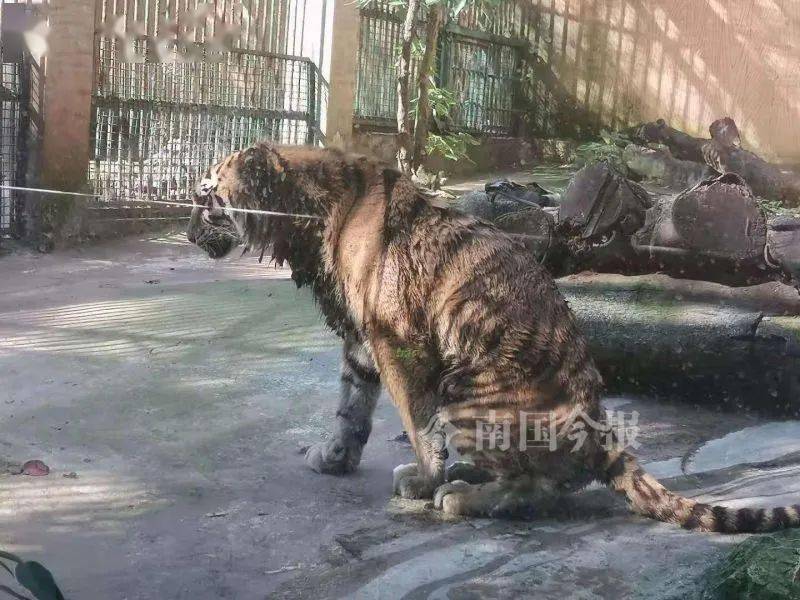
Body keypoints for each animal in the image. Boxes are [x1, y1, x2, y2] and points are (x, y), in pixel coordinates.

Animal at [186, 142, 800, 536]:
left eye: (206, 197)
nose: (188, 234)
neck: (304, 217)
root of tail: (599, 425)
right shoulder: (361, 342)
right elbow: (350, 405)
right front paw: (335, 457)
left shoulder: (397, 341)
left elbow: (414, 422)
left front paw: (423, 476)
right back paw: (466, 475)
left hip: (466, 384)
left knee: (542, 487)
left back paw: (458, 493)